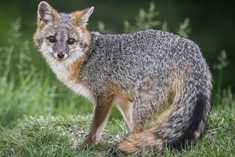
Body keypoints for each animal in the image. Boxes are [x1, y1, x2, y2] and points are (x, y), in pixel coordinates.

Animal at [33, 1, 213, 153]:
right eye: (52, 39)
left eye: (71, 41)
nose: (60, 54)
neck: (87, 57)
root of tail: (192, 50)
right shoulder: (122, 101)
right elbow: (130, 126)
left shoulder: (104, 96)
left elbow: (95, 127)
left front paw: (86, 145)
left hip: (143, 104)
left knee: (142, 128)